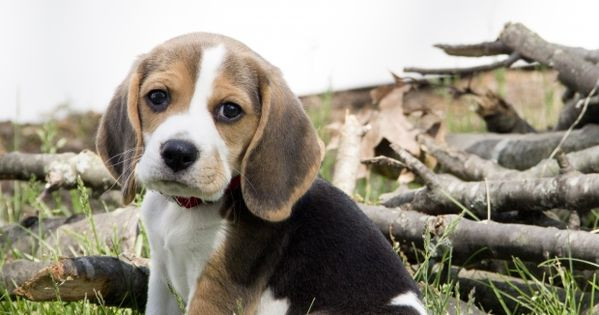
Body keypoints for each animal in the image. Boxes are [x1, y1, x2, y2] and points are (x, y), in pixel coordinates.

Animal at [96, 32, 424, 315]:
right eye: (157, 97)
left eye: (230, 110)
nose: (178, 152)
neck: (185, 208)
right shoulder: (161, 276)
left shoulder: (217, 290)